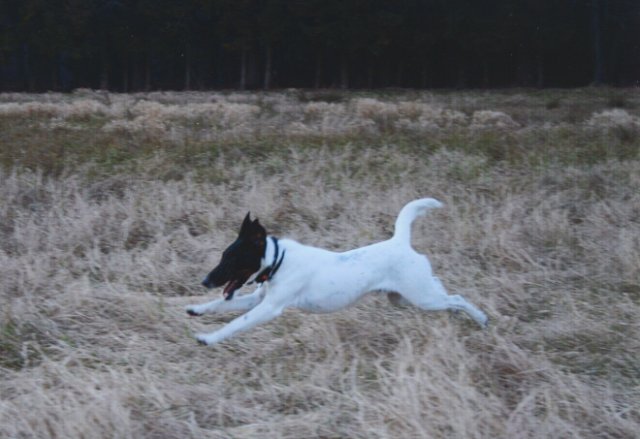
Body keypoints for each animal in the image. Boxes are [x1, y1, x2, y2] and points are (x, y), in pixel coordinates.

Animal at [188, 199, 488, 348]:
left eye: (231, 259)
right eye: (222, 256)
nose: (204, 281)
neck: (278, 261)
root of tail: (400, 241)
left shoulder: (269, 308)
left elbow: (235, 323)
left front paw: (208, 338)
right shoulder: (257, 299)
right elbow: (219, 305)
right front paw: (197, 309)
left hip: (422, 297)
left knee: (456, 298)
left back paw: (481, 319)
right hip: (404, 297)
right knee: (444, 292)